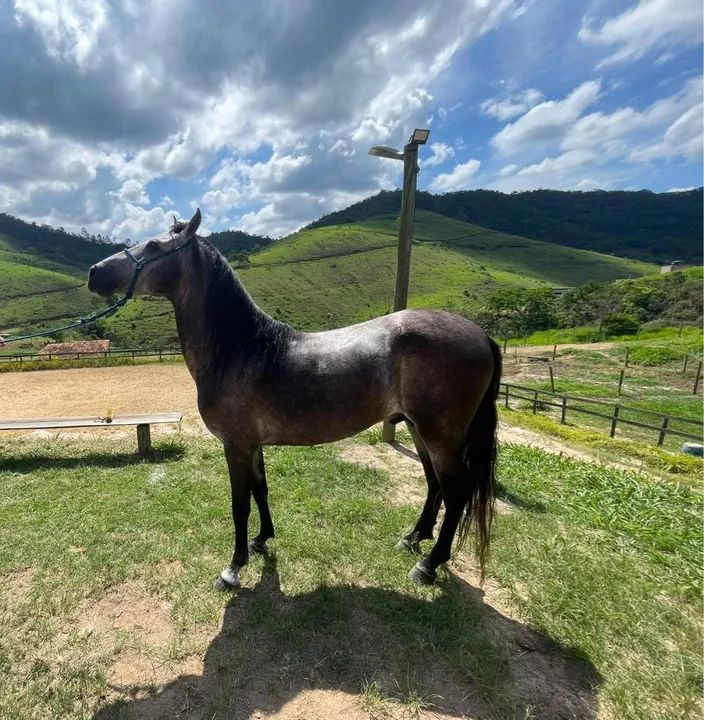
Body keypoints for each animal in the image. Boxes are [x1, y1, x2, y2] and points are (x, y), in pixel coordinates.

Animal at [88, 208, 502, 591]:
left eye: (154, 245)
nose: (94, 272)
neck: (243, 349)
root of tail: (481, 335)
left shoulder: (236, 445)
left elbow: (239, 503)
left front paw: (233, 568)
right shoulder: (252, 444)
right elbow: (260, 489)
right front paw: (262, 540)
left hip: (440, 435)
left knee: (457, 492)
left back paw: (428, 565)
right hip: (419, 429)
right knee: (435, 486)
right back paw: (414, 538)